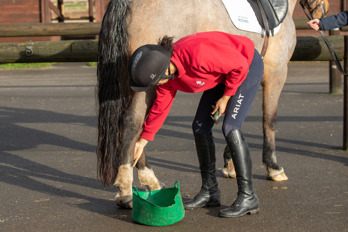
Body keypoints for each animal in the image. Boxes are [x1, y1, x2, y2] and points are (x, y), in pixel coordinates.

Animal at [96, 0, 328, 208]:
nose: (322, 10)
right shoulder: (276, 73)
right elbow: (269, 121)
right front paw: (273, 167)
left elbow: (233, 118)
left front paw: (230, 163)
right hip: (147, 88)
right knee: (132, 123)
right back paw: (126, 192)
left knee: (136, 132)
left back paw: (149, 181)